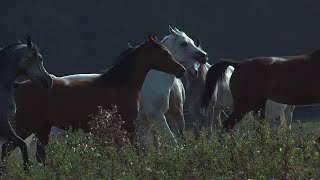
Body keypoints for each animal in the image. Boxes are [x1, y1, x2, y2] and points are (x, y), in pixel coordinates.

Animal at [3, 35, 185, 162]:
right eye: (164, 52)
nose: (181, 70)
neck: (119, 84)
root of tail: (18, 86)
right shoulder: (129, 126)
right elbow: (136, 151)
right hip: (26, 126)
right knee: (9, 148)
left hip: (42, 129)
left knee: (39, 156)